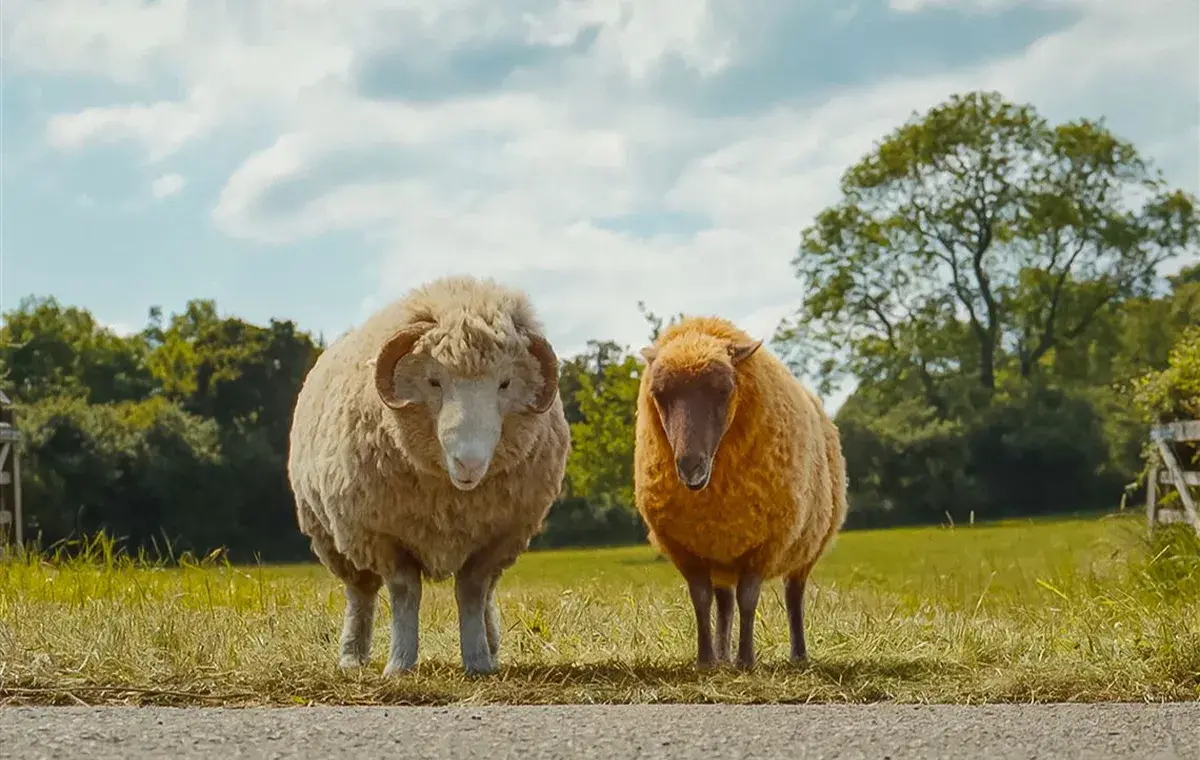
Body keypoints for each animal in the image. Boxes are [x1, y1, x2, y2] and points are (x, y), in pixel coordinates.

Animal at [286, 275, 570, 676]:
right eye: (435, 381)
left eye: (504, 384)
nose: (469, 463)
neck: (451, 498)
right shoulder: (384, 537)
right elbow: (406, 593)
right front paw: (400, 664)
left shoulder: (496, 539)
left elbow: (472, 592)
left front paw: (478, 660)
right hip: (334, 538)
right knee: (361, 594)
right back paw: (352, 656)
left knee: (486, 596)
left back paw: (491, 645)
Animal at [632, 315, 848, 670]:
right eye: (659, 394)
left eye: (724, 390)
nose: (690, 466)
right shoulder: (686, 549)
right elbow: (701, 600)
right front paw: (706, 660)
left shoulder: (764, 544)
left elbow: (749, 599)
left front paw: (746, 660)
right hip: (722, 553)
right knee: (723, 602)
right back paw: (722, 655)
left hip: (806, 547)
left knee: (794, 596)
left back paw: (798, 655)